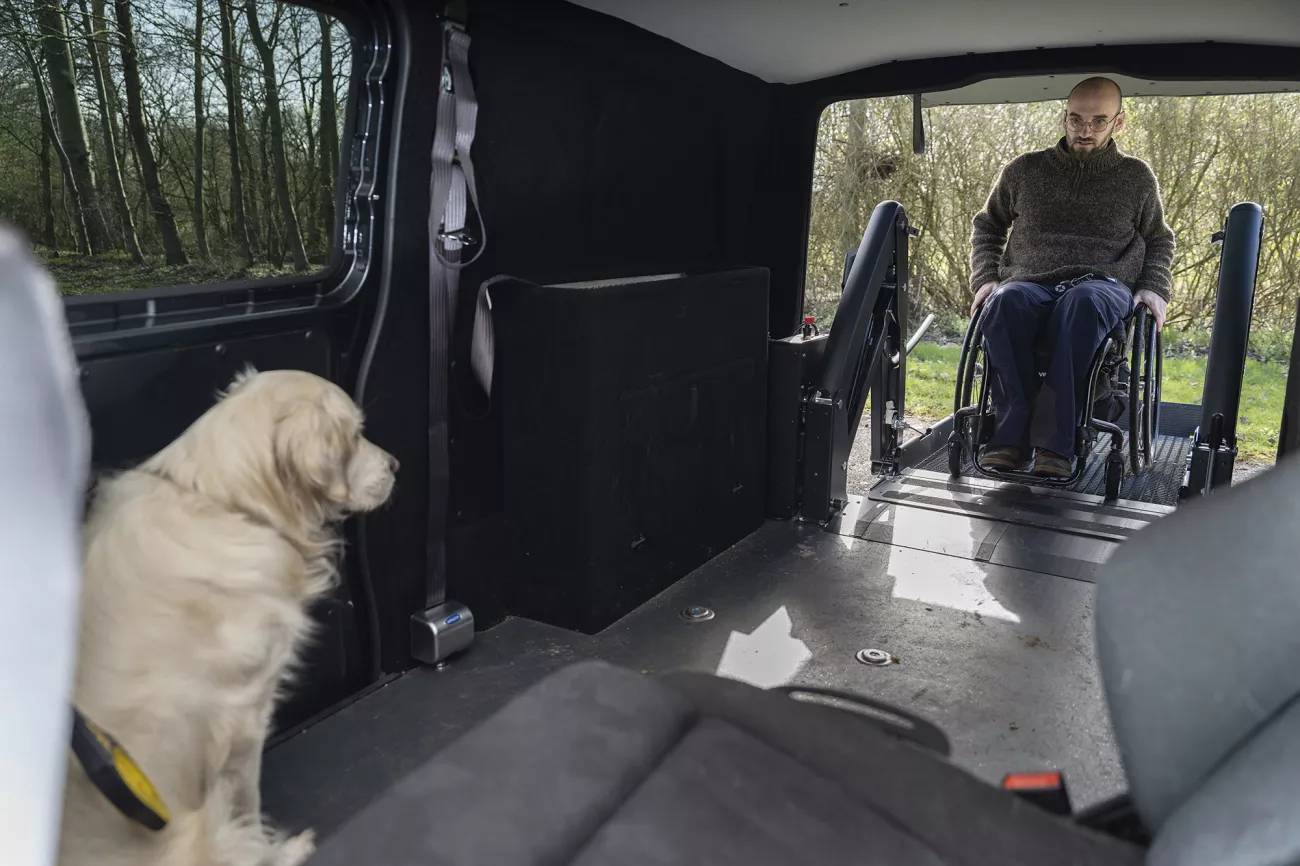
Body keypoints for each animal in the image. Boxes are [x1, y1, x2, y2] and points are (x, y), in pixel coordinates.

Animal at [55, 366, 397, 863]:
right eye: (355, 434)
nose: (396, 465)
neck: (229, 503)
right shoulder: (246, 713)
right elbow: (247, 801)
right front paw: (273, 841)